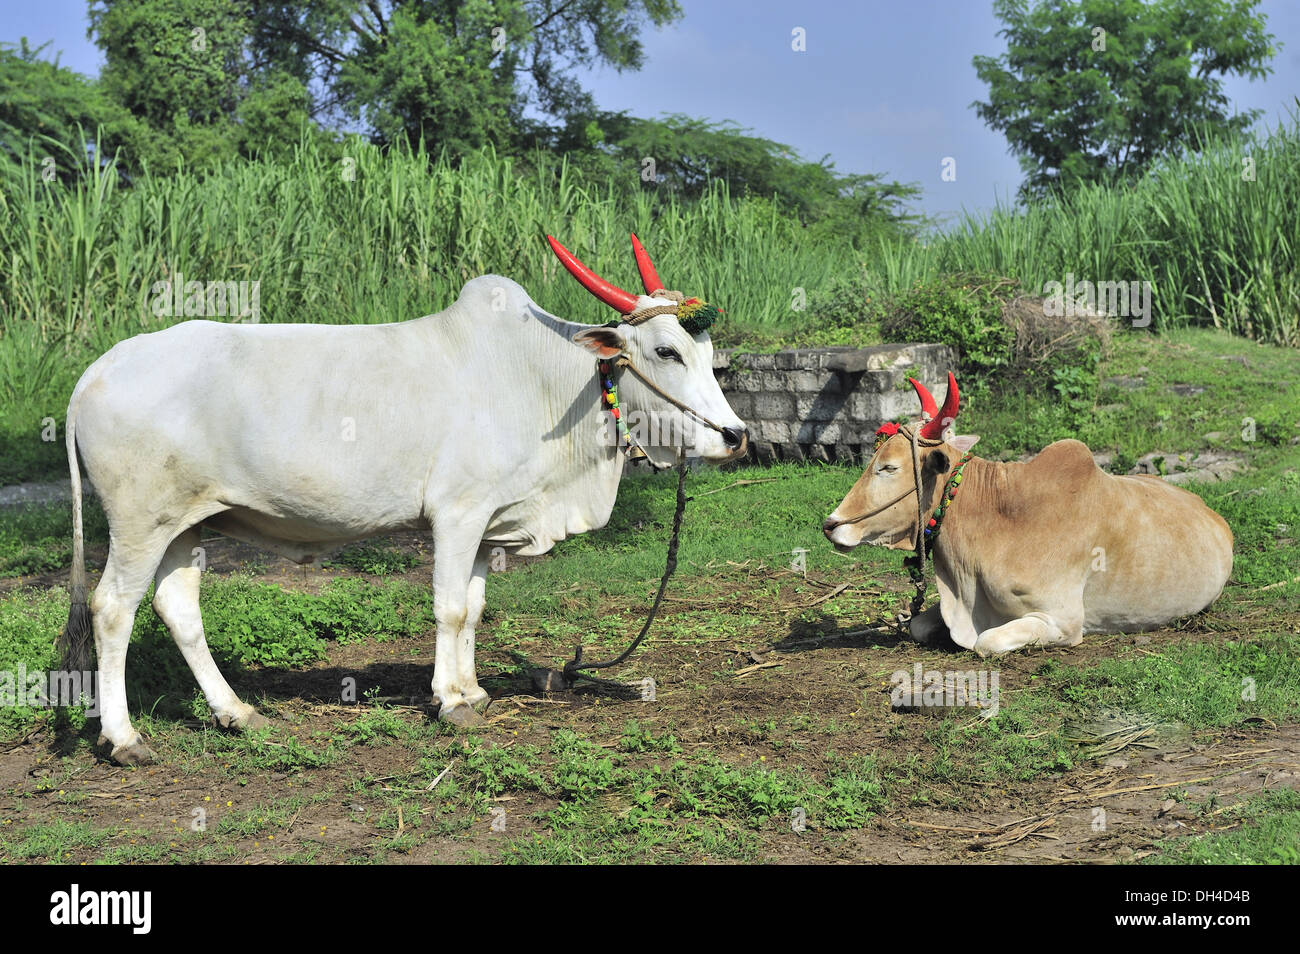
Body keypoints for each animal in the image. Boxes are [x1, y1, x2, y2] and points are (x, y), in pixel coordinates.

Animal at [61, 235, 748, 764]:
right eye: (666, 350)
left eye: (708, 351)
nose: (736, 436)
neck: (541, 379)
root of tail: (96, 370)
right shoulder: (457, 514)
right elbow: (449, 608)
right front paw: (450, 702)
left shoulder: (488, 524)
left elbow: (474, 608)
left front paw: (474, 691)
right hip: (139, 522)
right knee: (112, 609)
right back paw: (123, 738)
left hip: (185, 523)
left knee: (178, 608)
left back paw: (236, 712)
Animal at [826, 374, 1232, 657]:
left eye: (889, 467)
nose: (831, 524)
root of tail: (1213, 515)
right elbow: (917, 626)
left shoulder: (1062, 621)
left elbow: (986, 642)